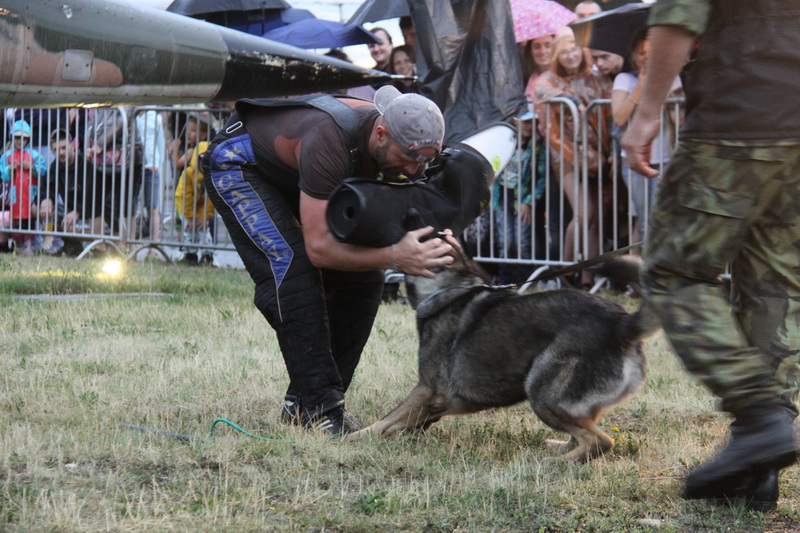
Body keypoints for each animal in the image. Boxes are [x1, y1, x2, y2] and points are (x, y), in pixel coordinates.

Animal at [346, 247, 660, 460]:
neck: (449, 289)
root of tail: (621, 324)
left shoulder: (427, 390)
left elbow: (386, 420)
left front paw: (352, 439)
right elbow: (402, 423)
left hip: (542, 391)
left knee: (601, 442)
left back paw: (554, 462)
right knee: (584, 433)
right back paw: (559, 449)